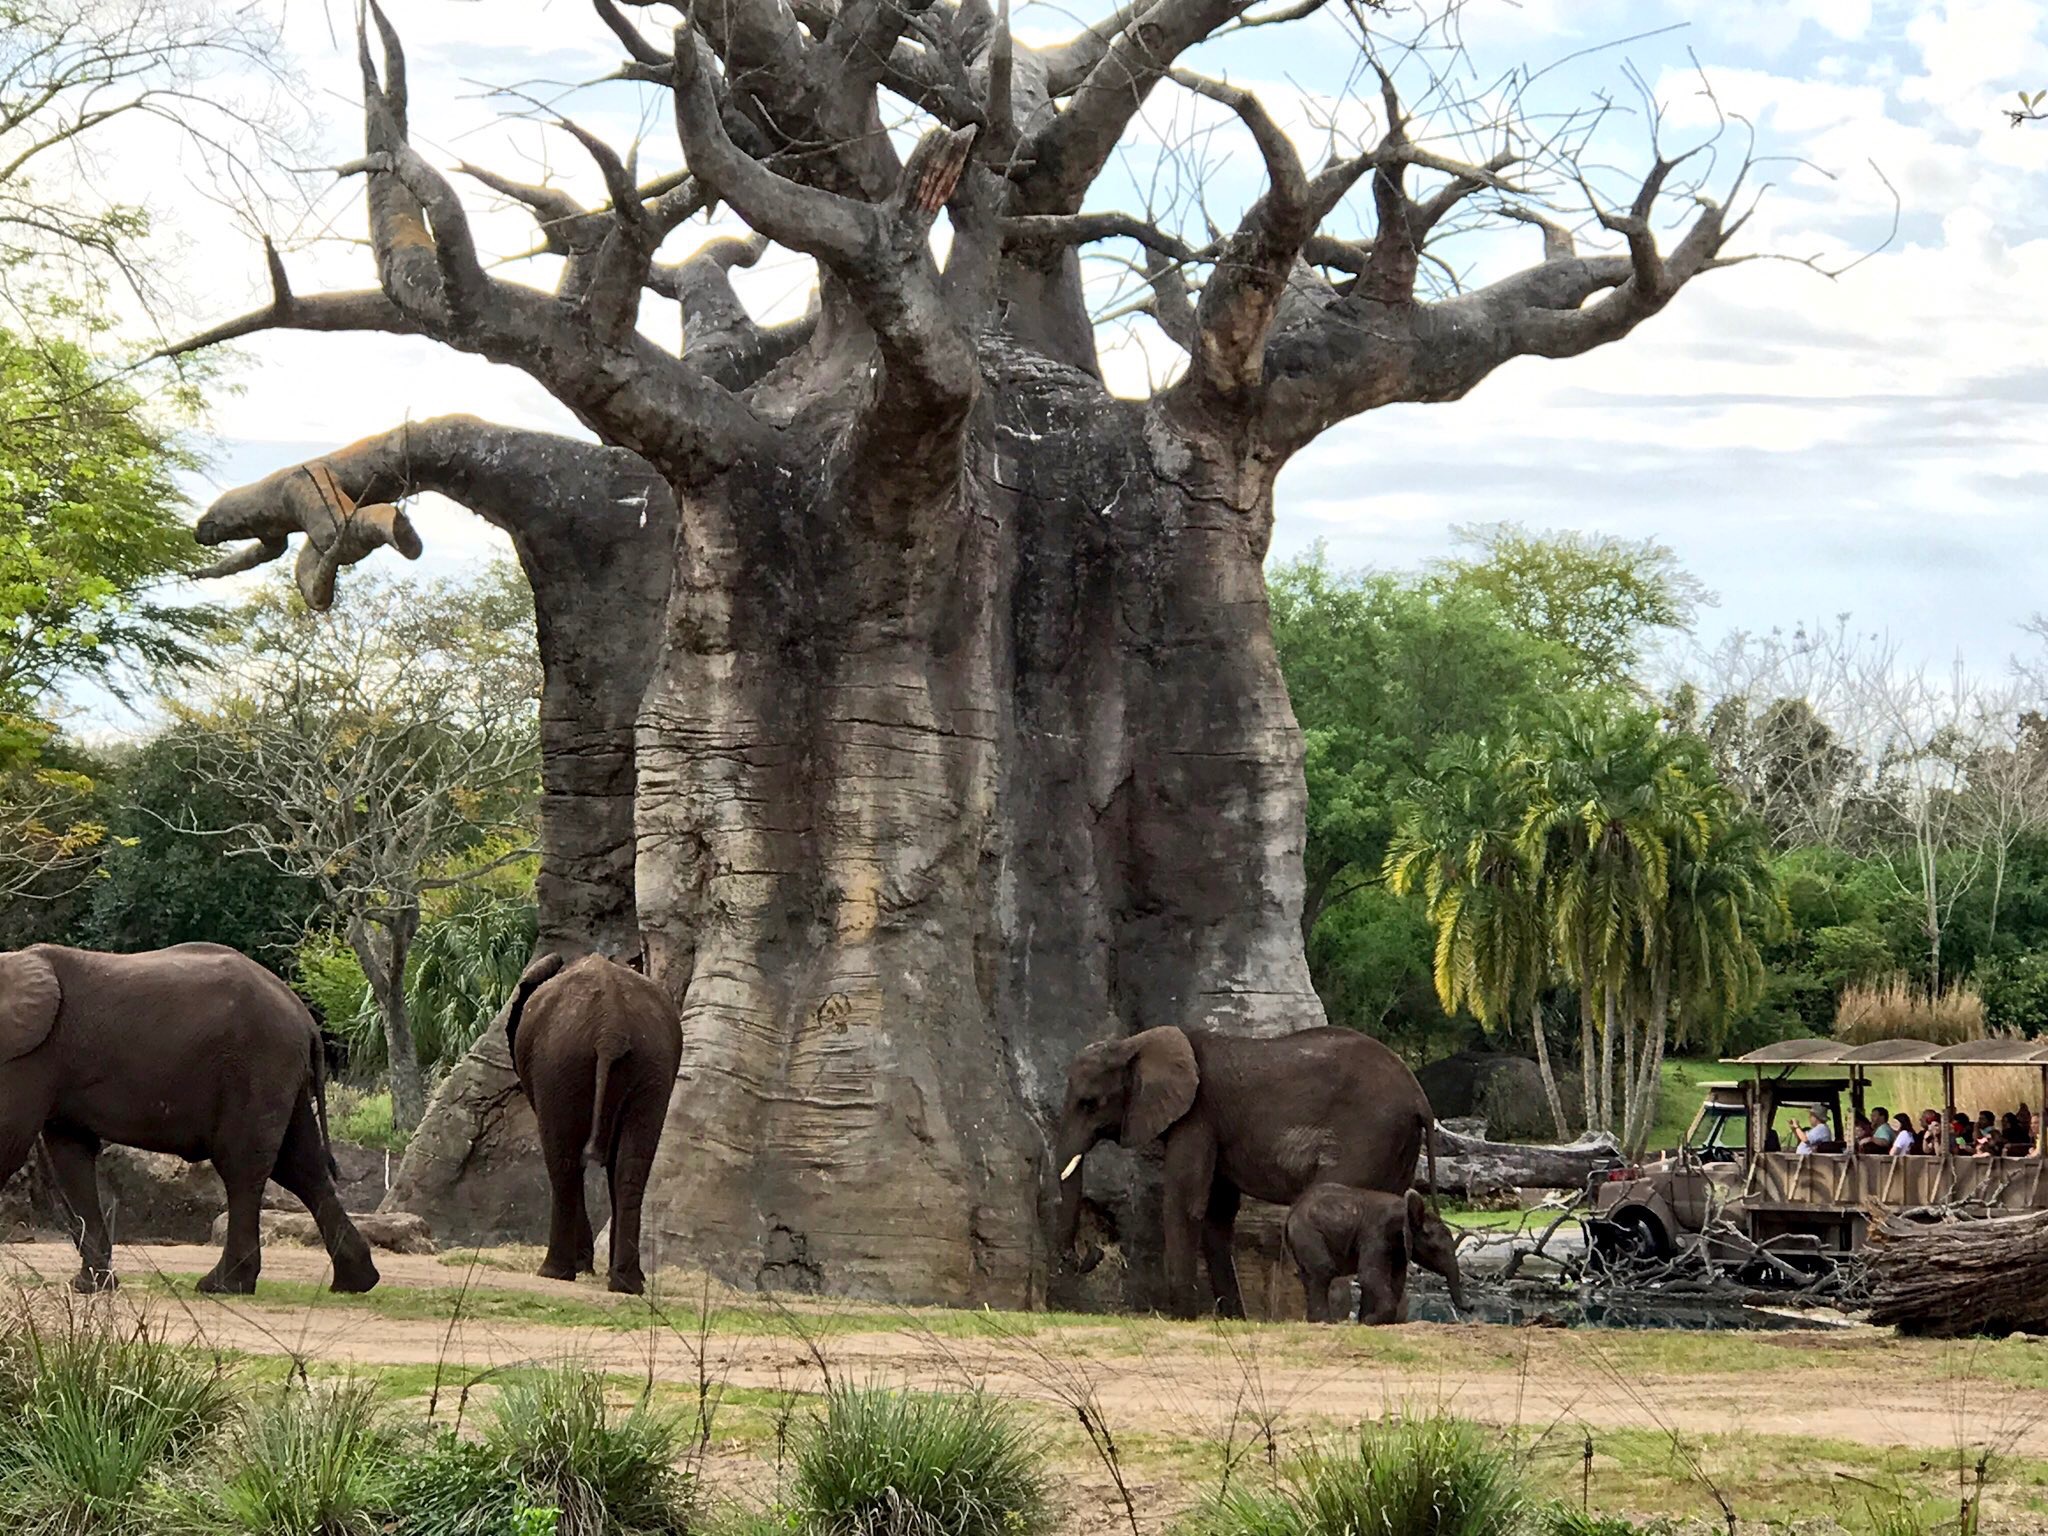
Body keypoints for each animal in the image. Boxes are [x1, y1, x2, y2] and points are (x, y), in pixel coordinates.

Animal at [0, 943, 378, 1295]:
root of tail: (304, 1016)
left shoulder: (33, 1054)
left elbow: (12, 1142)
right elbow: (70, 1156)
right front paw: (90, 1286)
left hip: (257, 1065)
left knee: (242, 1166)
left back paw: (222, 1285)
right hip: (283, 1074)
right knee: (302, 1168)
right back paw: (355, 1283)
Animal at [503, 951, 681, 1294]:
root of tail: (610, 1026)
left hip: (558, 1062)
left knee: (563, 1161)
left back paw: (555, 1272)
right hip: (651, 1064)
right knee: (631, 1167)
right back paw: (628, 1284)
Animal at [1054, 1025, 1438, 1318]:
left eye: (1089, 1103)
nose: (1091, 1254)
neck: (1134, 1043)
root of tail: (1421, 1098)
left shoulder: (1198, 1115)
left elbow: (1185, 1202)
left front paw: (1183, 1317)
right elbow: (1217, 1213)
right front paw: (1231, 1318)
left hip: (1367, 1136)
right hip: (1397, 1144)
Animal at [1283, 1183, 1466, 1323]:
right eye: (1435, 1249)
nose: (1469, 1307)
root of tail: (1293, 1209)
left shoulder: (1399, 1247)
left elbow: (1396, 1279)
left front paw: (1367, 1320)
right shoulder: (1376, 1234)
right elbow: (1370, 1274)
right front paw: (1370, 1321)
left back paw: (1314, 1320)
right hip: (1307, 1231)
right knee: (1323, 1270)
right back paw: (1326, 1321)